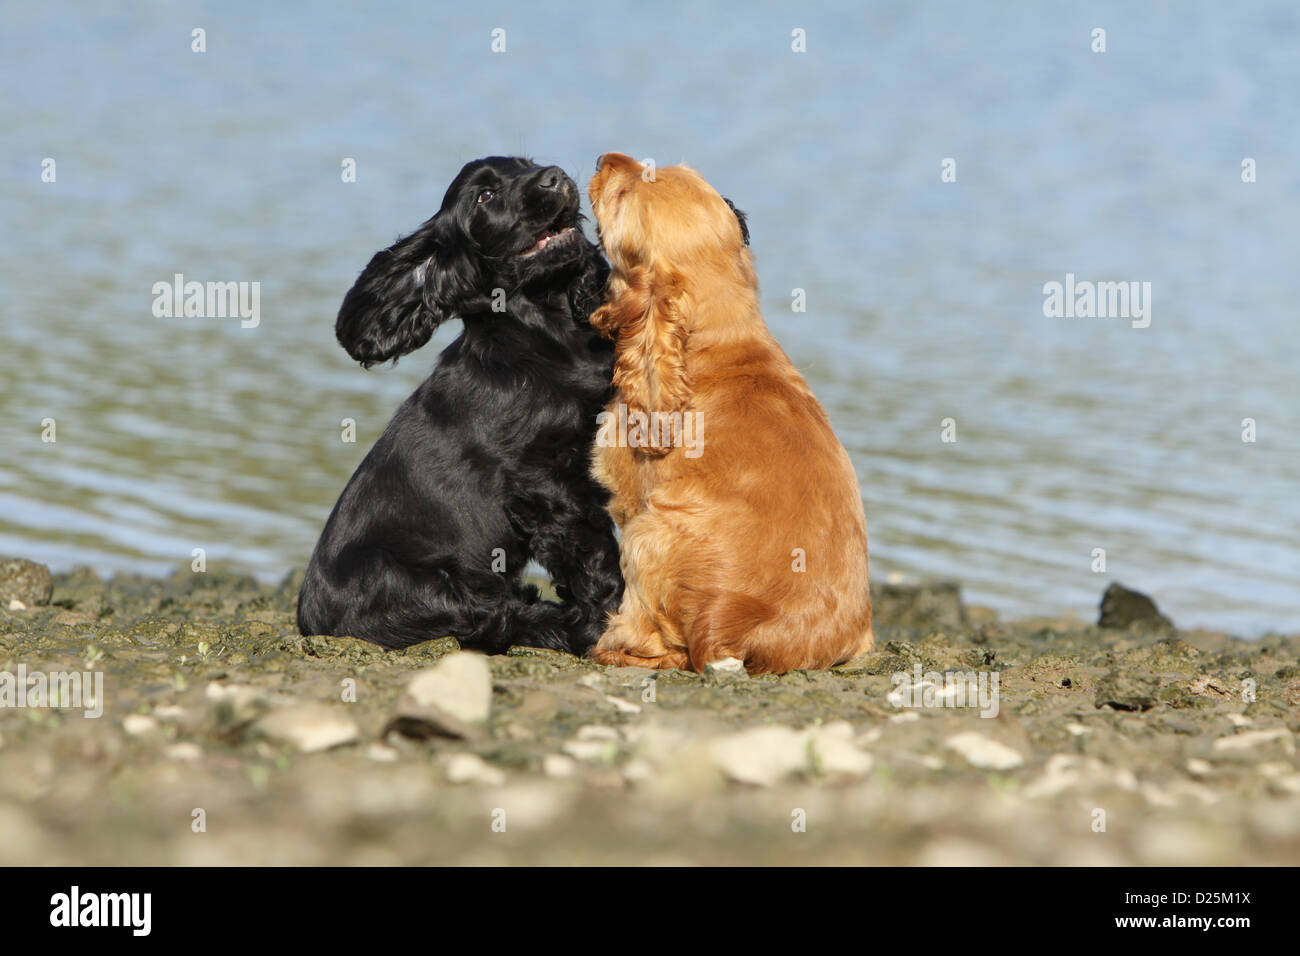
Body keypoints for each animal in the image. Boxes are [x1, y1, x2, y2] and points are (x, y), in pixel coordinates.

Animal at [301, 157, 626, 655]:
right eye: (484, 196)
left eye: (528, 165)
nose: (554, 175)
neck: (548, 333)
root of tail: (309, 623)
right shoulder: (548, 481)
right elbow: (595, 556)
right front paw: (614, 621)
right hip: (422, 582)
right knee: (495, 616)